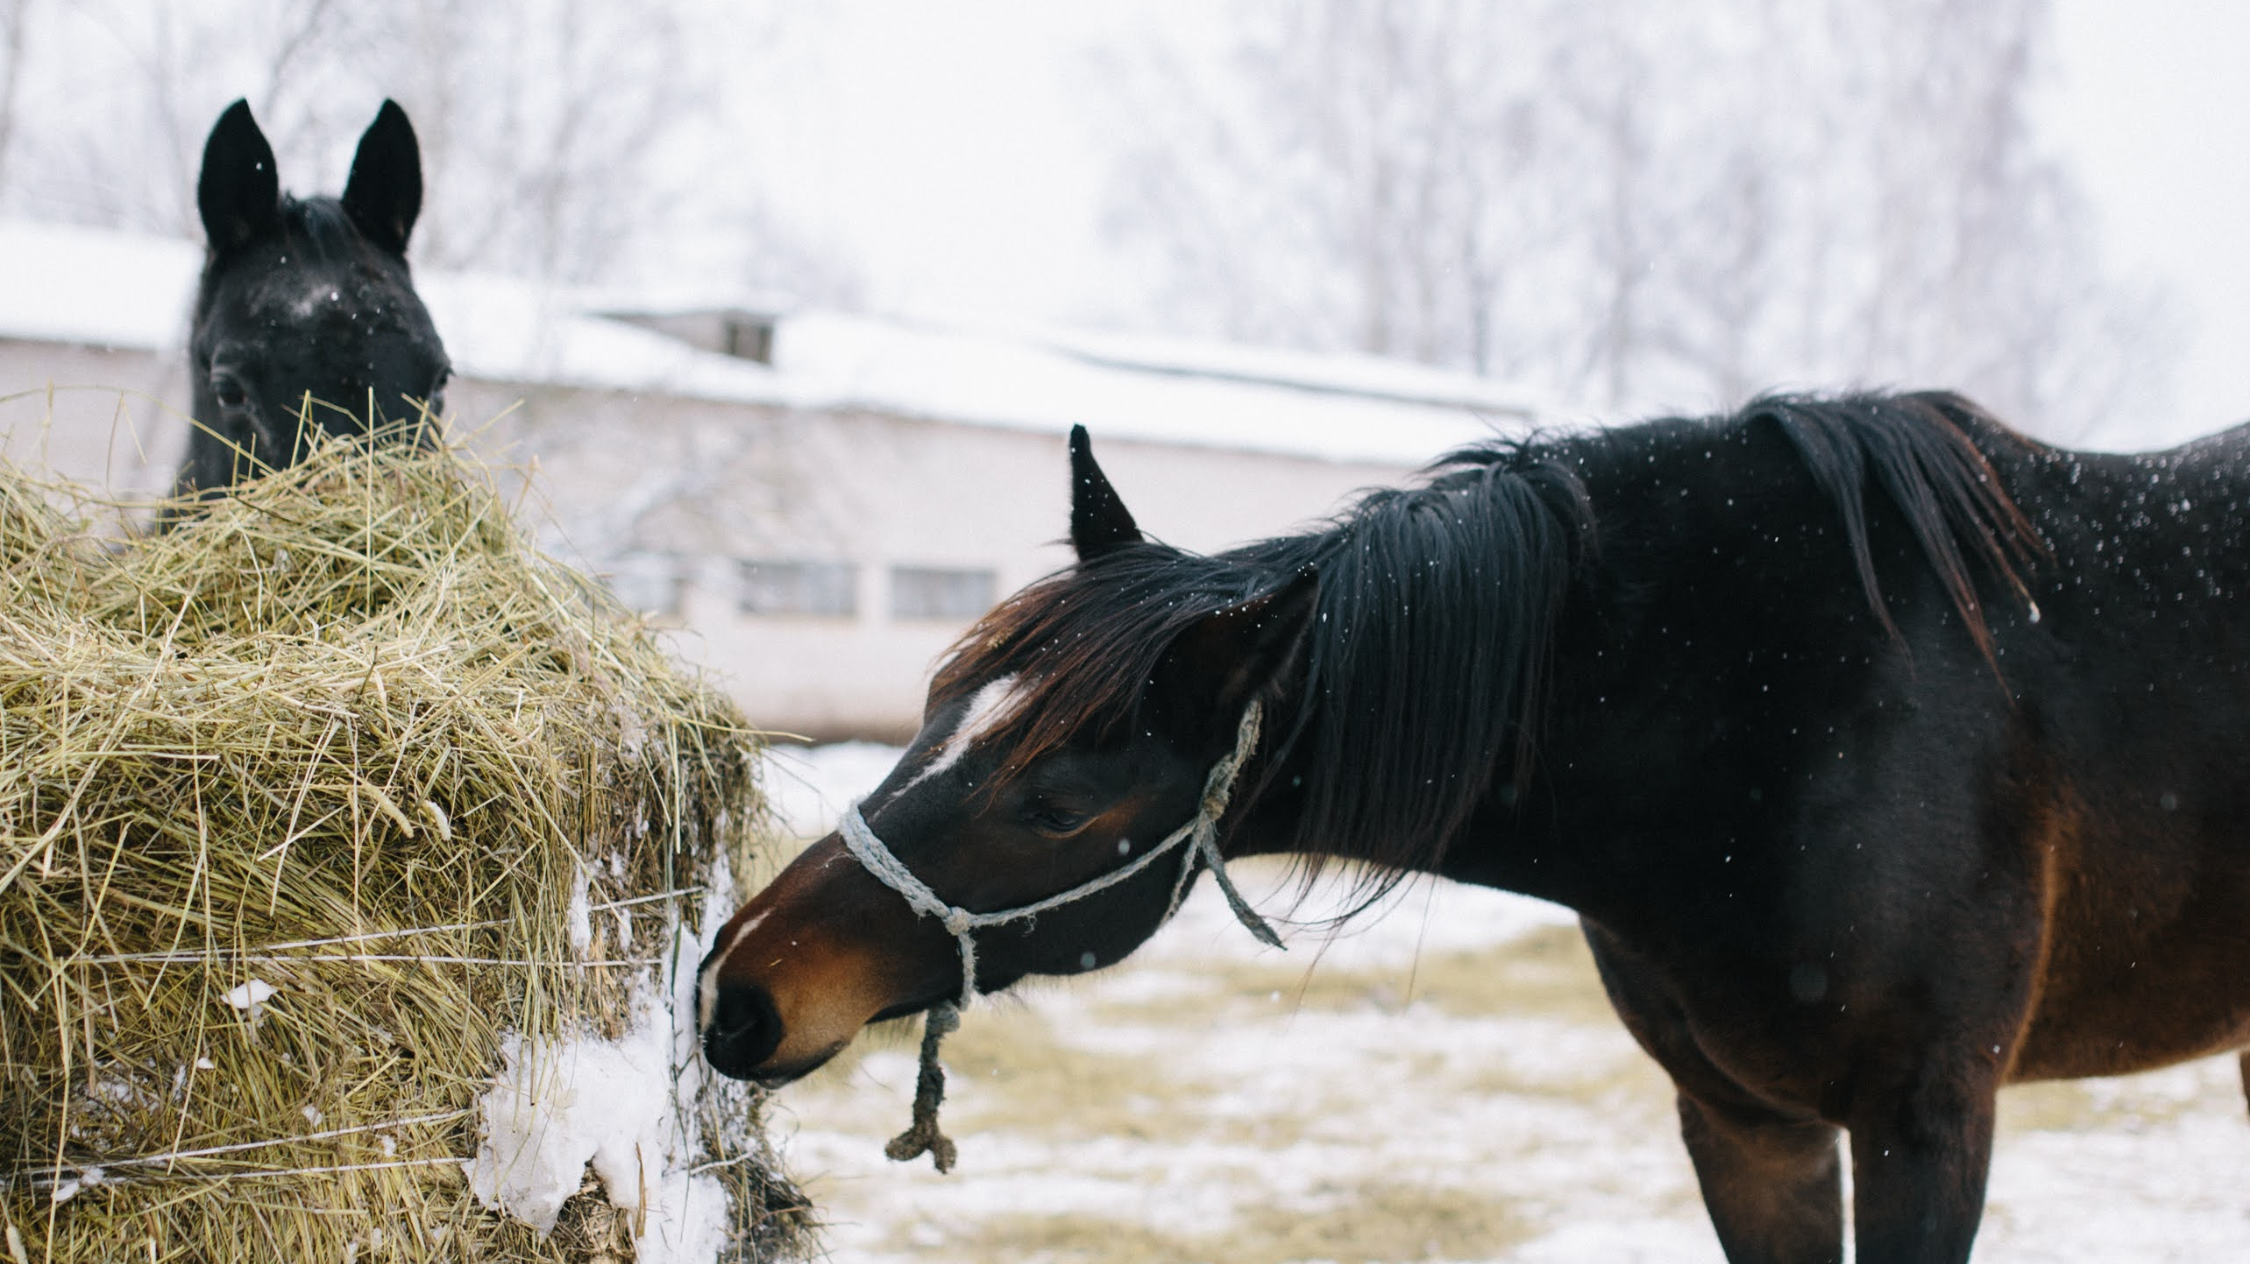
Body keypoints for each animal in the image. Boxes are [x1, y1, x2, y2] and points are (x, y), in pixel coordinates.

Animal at [697, 393, 2250, 1263]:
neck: (1773, 704)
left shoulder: (1928, 1121)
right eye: (932, 706)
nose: (737, 993)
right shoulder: (1745, 1126)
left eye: (1057, 805)